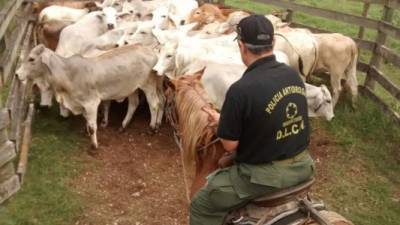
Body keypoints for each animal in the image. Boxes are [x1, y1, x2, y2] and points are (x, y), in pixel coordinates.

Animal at [16, 44, 164, 149]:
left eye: (31, 59)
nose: (17, 74)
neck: (69, 74)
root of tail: (152, 51)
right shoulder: (82, 104)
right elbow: (87, 120)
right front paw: (87, 132)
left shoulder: (91, 103)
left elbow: (93, 126)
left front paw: (94, 145)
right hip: (132, 87)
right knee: (135, 103)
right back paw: (124, 126)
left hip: (148, 85)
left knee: (154, 104)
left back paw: (152, 128)